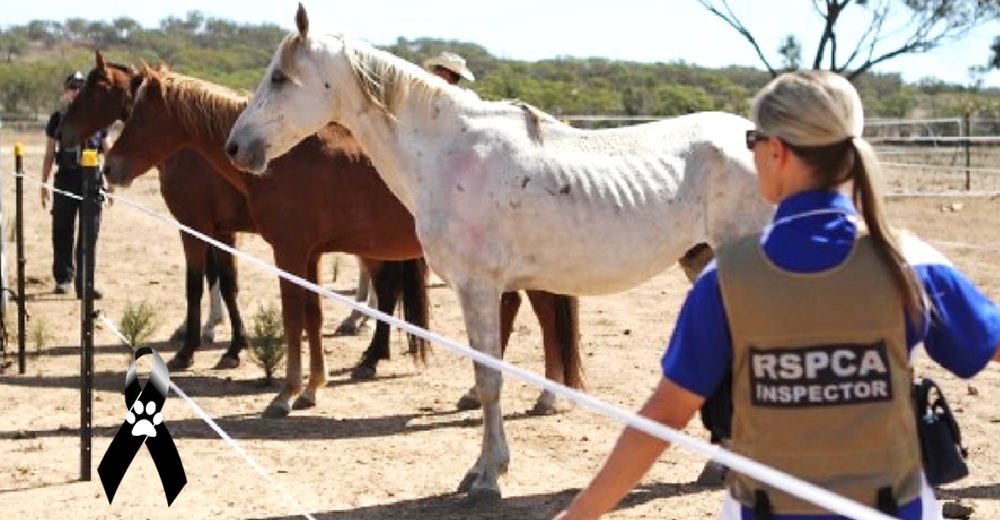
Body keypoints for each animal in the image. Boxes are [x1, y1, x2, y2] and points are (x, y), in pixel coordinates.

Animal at [100, 67, 584, 420]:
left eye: (140, 114)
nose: (109, 167)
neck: (282, 156)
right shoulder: (310, 255)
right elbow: (313, 317)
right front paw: (314, 387)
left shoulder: (287, 252)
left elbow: (293, 318)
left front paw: (285, 394)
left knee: (542, 316)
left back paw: (545, 398)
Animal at [227, 3, 772, 500]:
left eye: (279, 77)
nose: (236, 147)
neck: (446, 152)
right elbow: (485, 376)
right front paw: (481, 471)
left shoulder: (480, 289)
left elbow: (490, 381)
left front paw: (488, 478)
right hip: (703, 262)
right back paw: (716, 470)